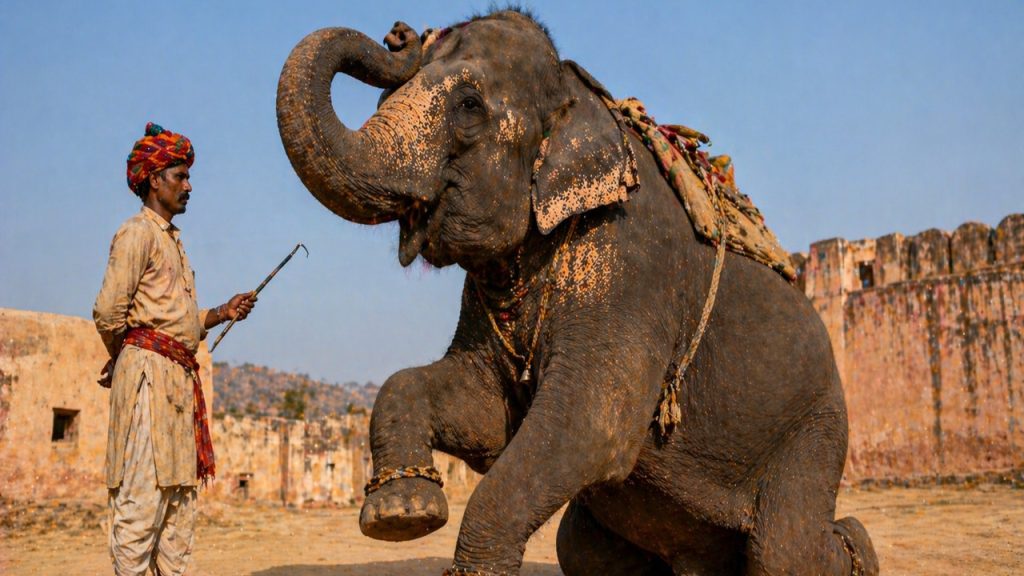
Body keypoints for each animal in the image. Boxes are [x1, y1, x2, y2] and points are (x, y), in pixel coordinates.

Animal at [277, 9, 879, 576]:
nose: (401, 33)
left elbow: (594, 425)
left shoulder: (631, 263)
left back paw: (859, 545)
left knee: (784, 551)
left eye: (469, 105)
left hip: (817, 425)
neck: (575, 93)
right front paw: (402, 513)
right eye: (387, 96)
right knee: (585, 547)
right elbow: (478, 414)